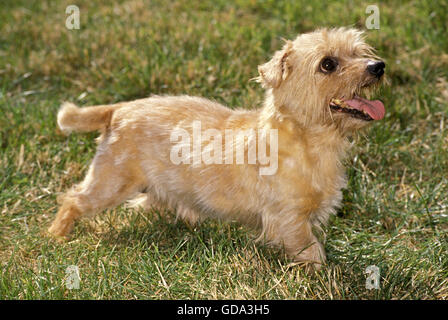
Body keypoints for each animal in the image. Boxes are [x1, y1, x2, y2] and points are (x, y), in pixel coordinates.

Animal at [48, 27, 384, 268]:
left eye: (359, 51)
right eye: (328, 64)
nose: (378, 66)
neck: (310, 141)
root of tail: (119, 109)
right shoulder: (289, 220)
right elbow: (312, 251)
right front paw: (325, 275)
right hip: (110, 182)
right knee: (73, 199)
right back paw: (56, 236)